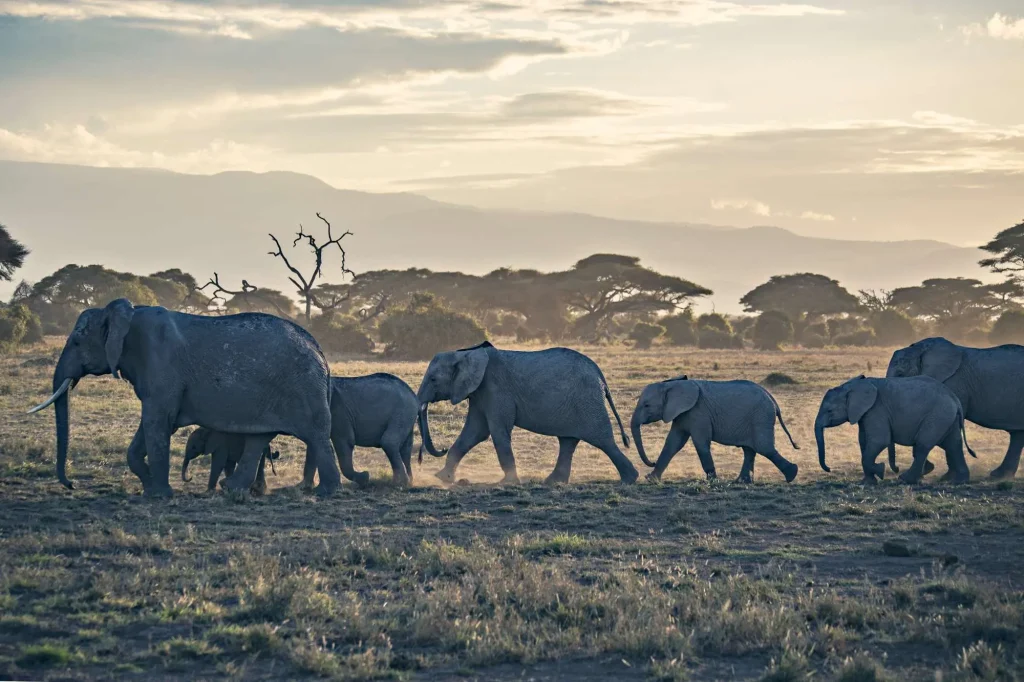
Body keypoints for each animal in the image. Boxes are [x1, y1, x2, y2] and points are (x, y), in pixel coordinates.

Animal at [26, 298, 343, 497]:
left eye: (77, 341)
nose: (71, 485)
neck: (123, 313)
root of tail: (321, 352)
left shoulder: (161, 365)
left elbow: (157, 421)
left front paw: (159, 494)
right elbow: (150, 425)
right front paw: (149, 487)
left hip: (302, 386)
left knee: (316, 435)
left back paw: (326, 492)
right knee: (259, 438)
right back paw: (232, 489)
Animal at [417, 341, 638, 485]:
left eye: (433, 379)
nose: (441, 448)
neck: (465, 353)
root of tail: (599, 374)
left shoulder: (496, 388)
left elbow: (496, 431)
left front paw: (507, 482)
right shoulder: (480, 392)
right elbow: (475, 432)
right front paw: (442, 478)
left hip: (588, 402)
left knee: (603, 440)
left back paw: (629, 479)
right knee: (568, 441)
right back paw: (553, 482)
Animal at [630, 376, 800, 483]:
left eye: (647, 405)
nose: (651, 462)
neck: (671, 385)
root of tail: (772, 398)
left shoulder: (698, 412)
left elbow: (700, 443)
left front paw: (712, 481)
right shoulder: (682, 414)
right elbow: (673, 443)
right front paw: (651, 479)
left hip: (761, 417)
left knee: (764, 448)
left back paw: (792, 475)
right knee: (750, 450)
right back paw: (742, 482)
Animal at [814, 374, 976, 484]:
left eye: (829, 411)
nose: (829, 469)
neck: (853, 386)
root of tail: (955, 398)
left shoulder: (876, 409)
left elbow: (879, 441)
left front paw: (880, 470)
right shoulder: (865, 414)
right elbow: (864, 442)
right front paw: (868, 482)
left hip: (938, 416)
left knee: (923, 445)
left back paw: (905, 479)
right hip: (947, 417)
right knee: (953, 445)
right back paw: (959, 481)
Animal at [887, 337, 1024, 479]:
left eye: (900, 374)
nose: (897, 469)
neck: (920, 349)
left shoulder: (954, 383)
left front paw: (942, 475)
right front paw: (938, 474)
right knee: (1018, 435)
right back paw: (1000, 475)